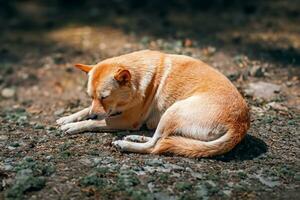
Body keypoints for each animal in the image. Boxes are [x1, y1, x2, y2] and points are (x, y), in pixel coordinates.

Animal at [56, 49, 251, 157]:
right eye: (91, 96)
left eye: (105, 97)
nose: (93, 114)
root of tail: (240, 125)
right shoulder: (104, 111)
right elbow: (84, 111)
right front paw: (67, 118)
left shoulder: (126, 120)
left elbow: (94, 122)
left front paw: (74, 126)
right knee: (159, 139)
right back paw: (135, 137)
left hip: (173, 111)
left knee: (155, 146)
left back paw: (125, 144)